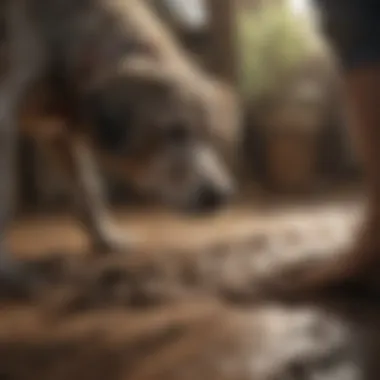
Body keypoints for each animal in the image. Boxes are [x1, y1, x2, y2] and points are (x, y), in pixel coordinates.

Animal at [0, 0, 239, 290]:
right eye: (175, 132)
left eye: (210, 135)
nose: (221, 195)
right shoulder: (5, 118)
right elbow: (6, 197)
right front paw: (8, 270)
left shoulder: (58, 133)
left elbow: (88, 191)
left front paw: (106, 239)